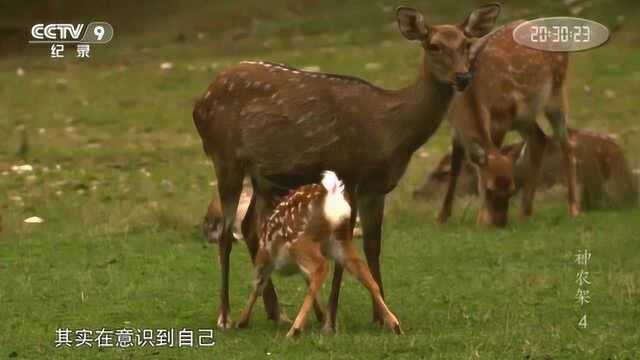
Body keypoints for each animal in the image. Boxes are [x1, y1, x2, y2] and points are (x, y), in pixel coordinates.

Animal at [235, 170, 400, 336]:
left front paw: (241, 321)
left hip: (300, 242)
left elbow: (257, 285)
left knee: (321, 267)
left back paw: (294, 330)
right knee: (366, 276)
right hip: (341, 241)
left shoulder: (264, 257)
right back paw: (395, 325)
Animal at [436, 19, 580, 226]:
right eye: (489, 190)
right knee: (539, 139)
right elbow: (455, 167)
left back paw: (573, 209)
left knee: (567, 143)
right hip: (523, 116)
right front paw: (441, 217)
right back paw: (524, 213)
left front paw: (480, 219)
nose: (499, 224)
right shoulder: (456, 127)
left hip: (556, 93)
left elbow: (488, 157)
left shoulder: (500, 117)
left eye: (512, 190)